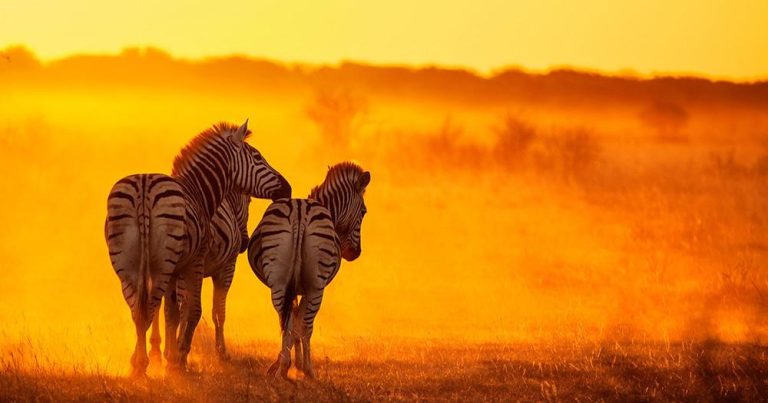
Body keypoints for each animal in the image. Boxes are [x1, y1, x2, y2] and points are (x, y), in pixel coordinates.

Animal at [151, 191, 255, 362]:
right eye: (249, 201)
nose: (244, 244)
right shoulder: (227, 268)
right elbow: (219, 311)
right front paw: (222, 352)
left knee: (159, 304)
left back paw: (157, 349)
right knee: (179, 306)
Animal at [248, 163, 370, 380]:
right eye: (363, 211)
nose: (355, 253)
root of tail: (300, 212)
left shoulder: (293, 289)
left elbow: (292, 323)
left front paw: (282, 364)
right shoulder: (305, 289)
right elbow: (300, 325)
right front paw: (297, 365)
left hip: (279, 283)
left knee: (286, 321)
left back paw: (283, 368)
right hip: (316, 286)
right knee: (306, 325)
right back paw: (308, 370)